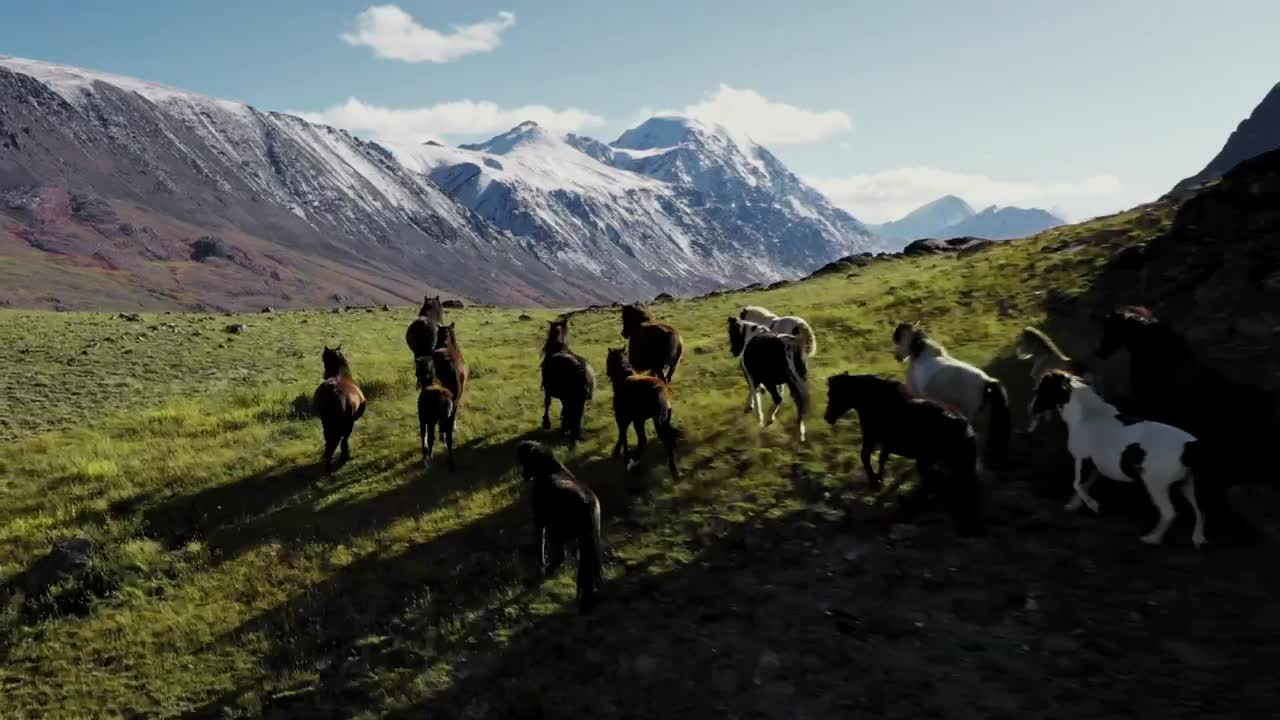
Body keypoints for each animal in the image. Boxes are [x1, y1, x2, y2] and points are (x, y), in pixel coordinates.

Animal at [313, 345, 367, 474]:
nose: (324, 375)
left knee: (330, 442)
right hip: (345, 423)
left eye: (325, 358)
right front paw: (345, 455)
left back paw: (328, 466)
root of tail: (335, 390)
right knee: (339, 440)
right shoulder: (350, 422)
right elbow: (345, 439)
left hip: (326, 422)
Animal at [518, 441, 604, 614]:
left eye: (525, 461)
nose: (523, 475)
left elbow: (540, 544)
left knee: (561, 556)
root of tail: (587, 502)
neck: (549, 471)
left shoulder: (540, 521)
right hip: (586, 538)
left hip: (557, 530)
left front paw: (541, 569)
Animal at [604, 347, 680, 478]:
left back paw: (633, 461)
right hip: (661, 421)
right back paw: (673, 468)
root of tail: (660, 392)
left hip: (639, 421)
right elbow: (622, 435)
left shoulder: (621, 417)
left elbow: (622, 435)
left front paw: (619, 453)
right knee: (667, 440)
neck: (623, 376)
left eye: (608, 360)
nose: (607, 373)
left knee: (643, 440)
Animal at [825, 373, 983, 536]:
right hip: (947, 462)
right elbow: (882, 459)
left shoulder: (871, 436)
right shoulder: (886, 443)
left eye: (831, 394)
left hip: (928, 460)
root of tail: (965, 427)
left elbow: (865, 457)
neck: (874, 400)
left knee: (934, 484)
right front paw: (880, 481)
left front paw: (875, 483)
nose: (827, 417)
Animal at [1030, 370, 1207, 548]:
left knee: (1169, 513)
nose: (1031, 410)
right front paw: (1072, 506)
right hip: (1187, 484)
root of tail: (1190, 446)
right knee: (1199, 511)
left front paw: (1094, 506)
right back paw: (1198, 539)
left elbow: (1077, 484)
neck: (1088, 414)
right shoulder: (1097, 467)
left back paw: (1152, 539)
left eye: (1041, 389)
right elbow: (1083, 486)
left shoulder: (1082, 459)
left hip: (1156, 484)